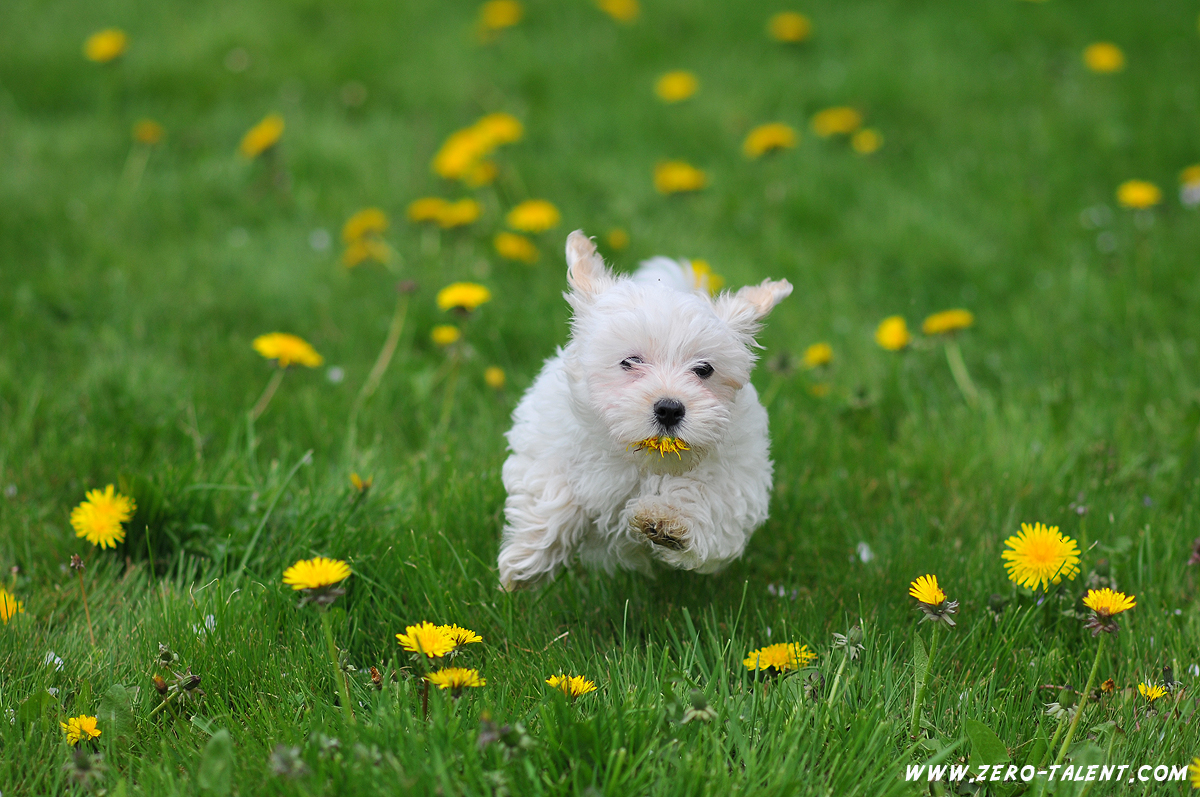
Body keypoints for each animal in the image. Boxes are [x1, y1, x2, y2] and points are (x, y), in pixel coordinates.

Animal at [492, 230, 792, 590]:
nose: (669, 409)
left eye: (704, 369)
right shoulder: (550, 439)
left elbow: (703, 497)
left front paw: (666, 520)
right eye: (630, 361)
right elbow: (553, 490)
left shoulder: (736, 482)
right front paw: (527, 563)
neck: (642, 461)